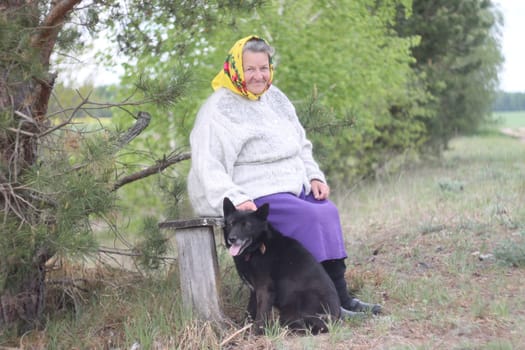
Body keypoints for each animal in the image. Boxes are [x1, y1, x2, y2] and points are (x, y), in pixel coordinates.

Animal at [223, 197, 342, 334]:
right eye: (231, 223)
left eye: (247, 225)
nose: (232, 239)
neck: (257, 248)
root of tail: (335, 321)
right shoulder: (254, 291)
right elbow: (249, 313)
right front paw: (243, 330)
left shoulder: (264, 290)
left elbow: (260, 317)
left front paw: (255, 334)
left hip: (290, 309)